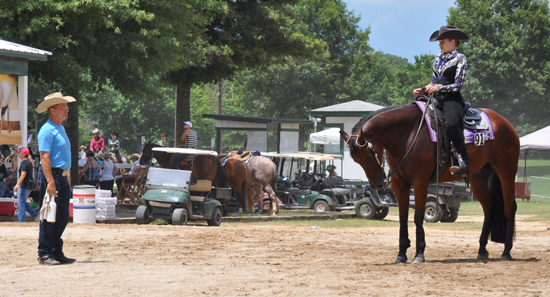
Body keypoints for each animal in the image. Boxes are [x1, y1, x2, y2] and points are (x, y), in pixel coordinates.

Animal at [340, 103, 520, 262]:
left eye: (369, 155)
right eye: (357, 160)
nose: (377, 184)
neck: (408, 133)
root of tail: (504, 123)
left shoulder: (420, 182)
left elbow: (418, 216)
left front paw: (419, 254)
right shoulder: (400, 184)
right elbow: (403, 218)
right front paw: (401, 254)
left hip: (506, 174)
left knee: (509, 208)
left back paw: (506, 252)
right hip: (478, 178)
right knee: (489, 207)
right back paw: (482, 250)